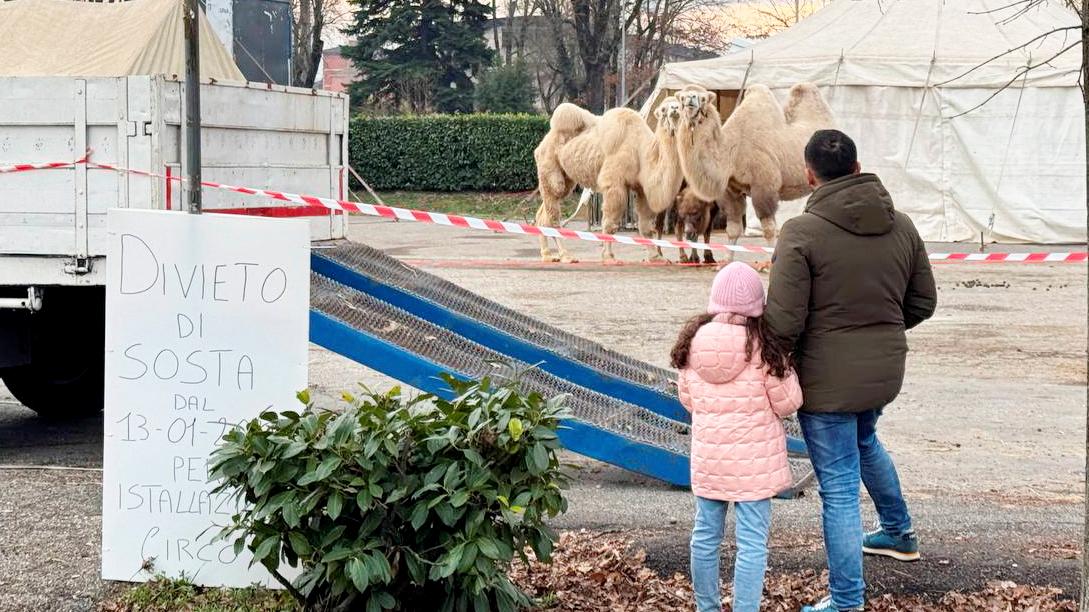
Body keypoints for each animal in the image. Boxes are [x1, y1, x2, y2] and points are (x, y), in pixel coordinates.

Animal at [531, 98, 683, 262]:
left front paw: (657, 258)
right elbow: (610, 223)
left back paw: (548, 255)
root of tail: (541, 144)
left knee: (545, 212)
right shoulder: (614, 183)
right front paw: (609, 257)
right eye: (663, 109)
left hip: (565, 178)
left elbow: (646, 226)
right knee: (554, 211)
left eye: (681, 104)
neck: (641, 151)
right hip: (549, 168)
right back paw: (566, 256)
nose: (675, 109)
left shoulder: (642, 189)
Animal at [670, 81, 831, 252]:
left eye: (704, 98)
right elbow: (733, 230)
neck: (731, 152)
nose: (690, 99)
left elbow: (769, 230)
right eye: (681, 97)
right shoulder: (731, 191)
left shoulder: (764, 187)